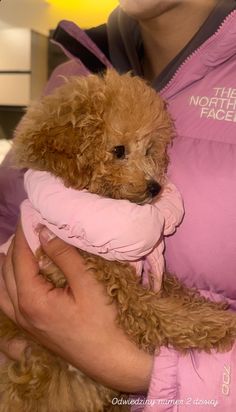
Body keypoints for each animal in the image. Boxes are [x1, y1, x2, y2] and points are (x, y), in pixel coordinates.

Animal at [0, 69, 236, 410]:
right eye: (118, 151)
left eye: (148, 149)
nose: (154, 187)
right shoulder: (115, 282)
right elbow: (160, 314)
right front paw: (219, 324)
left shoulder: (140, 268)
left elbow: (171, 289)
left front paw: (206, 305)